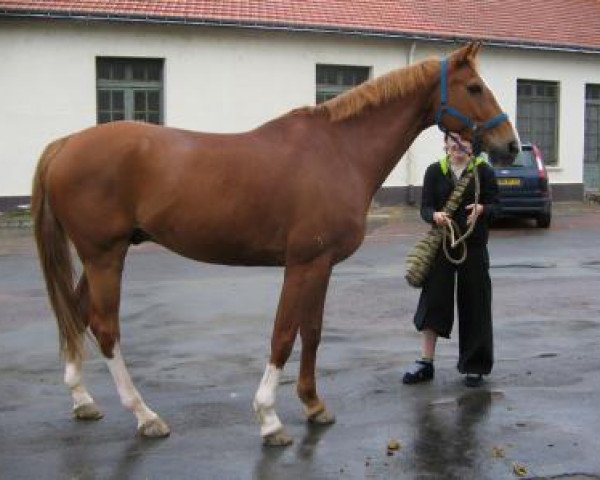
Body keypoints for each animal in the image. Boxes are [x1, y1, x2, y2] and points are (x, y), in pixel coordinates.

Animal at [30, 42, 516, 446]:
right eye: (474, 87)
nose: (510, 146)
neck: (339, 150)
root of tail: (67, 144)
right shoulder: (303, 263)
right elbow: (283, 334)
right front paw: (269, 419)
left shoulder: (323, 265)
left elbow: (312, 332)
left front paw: (314, 405)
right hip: (105, 256)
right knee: (105, 328)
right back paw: (145, 415)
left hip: (102, 256)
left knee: (76, 313)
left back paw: (83, 400)